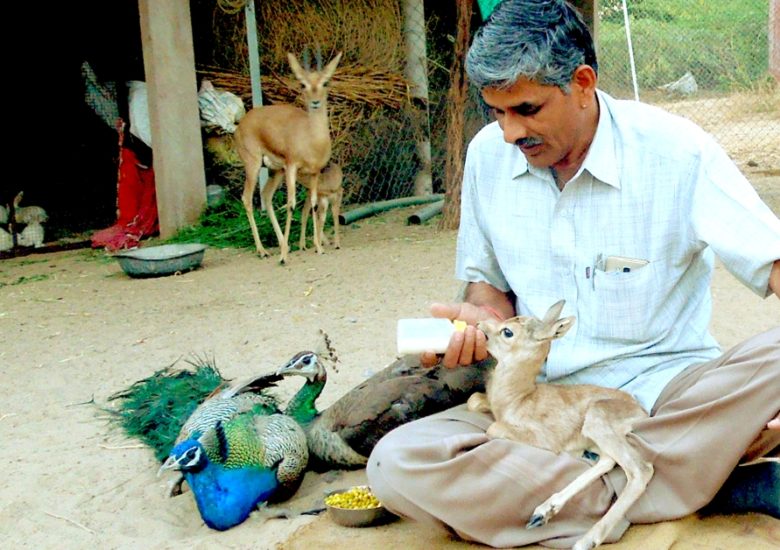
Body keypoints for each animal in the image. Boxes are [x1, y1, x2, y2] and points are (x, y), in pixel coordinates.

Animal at [470, 302, 652, 550]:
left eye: (507, 331)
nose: (480, 325)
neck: (517, 399)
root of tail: (642, 411)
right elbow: (473, 401)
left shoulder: (542, 437)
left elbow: (493, 429)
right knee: (608, 460)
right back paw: (542, 513)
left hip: (597, 419)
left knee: (640, 468)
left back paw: (585, 540)